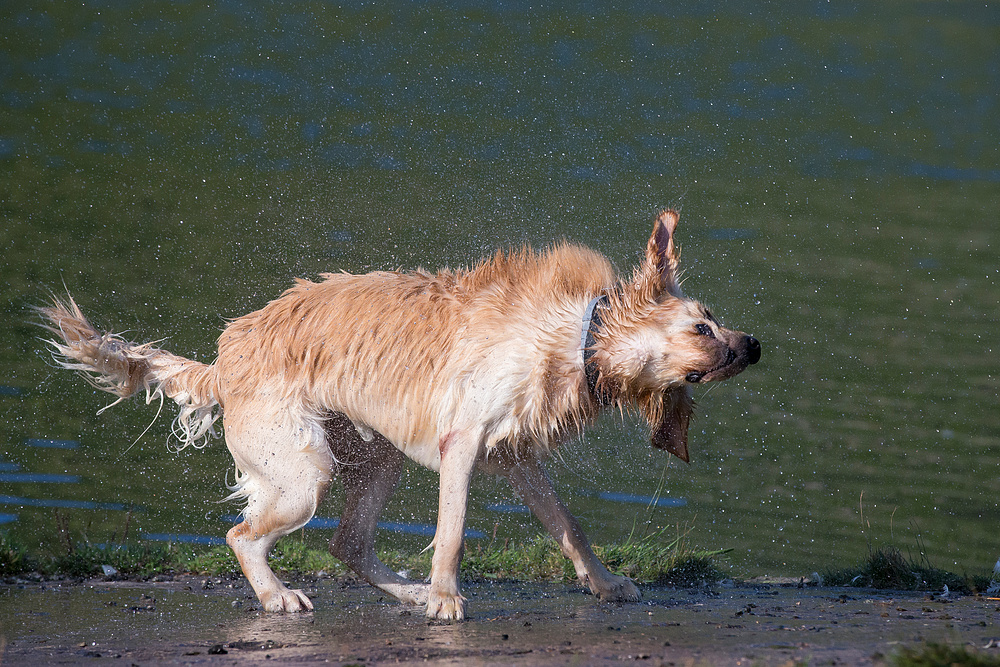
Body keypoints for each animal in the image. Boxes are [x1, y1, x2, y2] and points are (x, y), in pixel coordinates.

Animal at [37, 210, 756, 620]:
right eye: (701, 325)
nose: (754, 345)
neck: (575, 335)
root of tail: (224, 357)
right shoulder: (461, 440)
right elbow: (455, 529)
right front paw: (444, 600)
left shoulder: (517, 457)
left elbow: (569, 526)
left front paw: (605, 584)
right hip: (302, 471)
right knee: (244, 535)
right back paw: (280, 596)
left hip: (372, 457)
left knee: (348, 542)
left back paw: (403, 593)